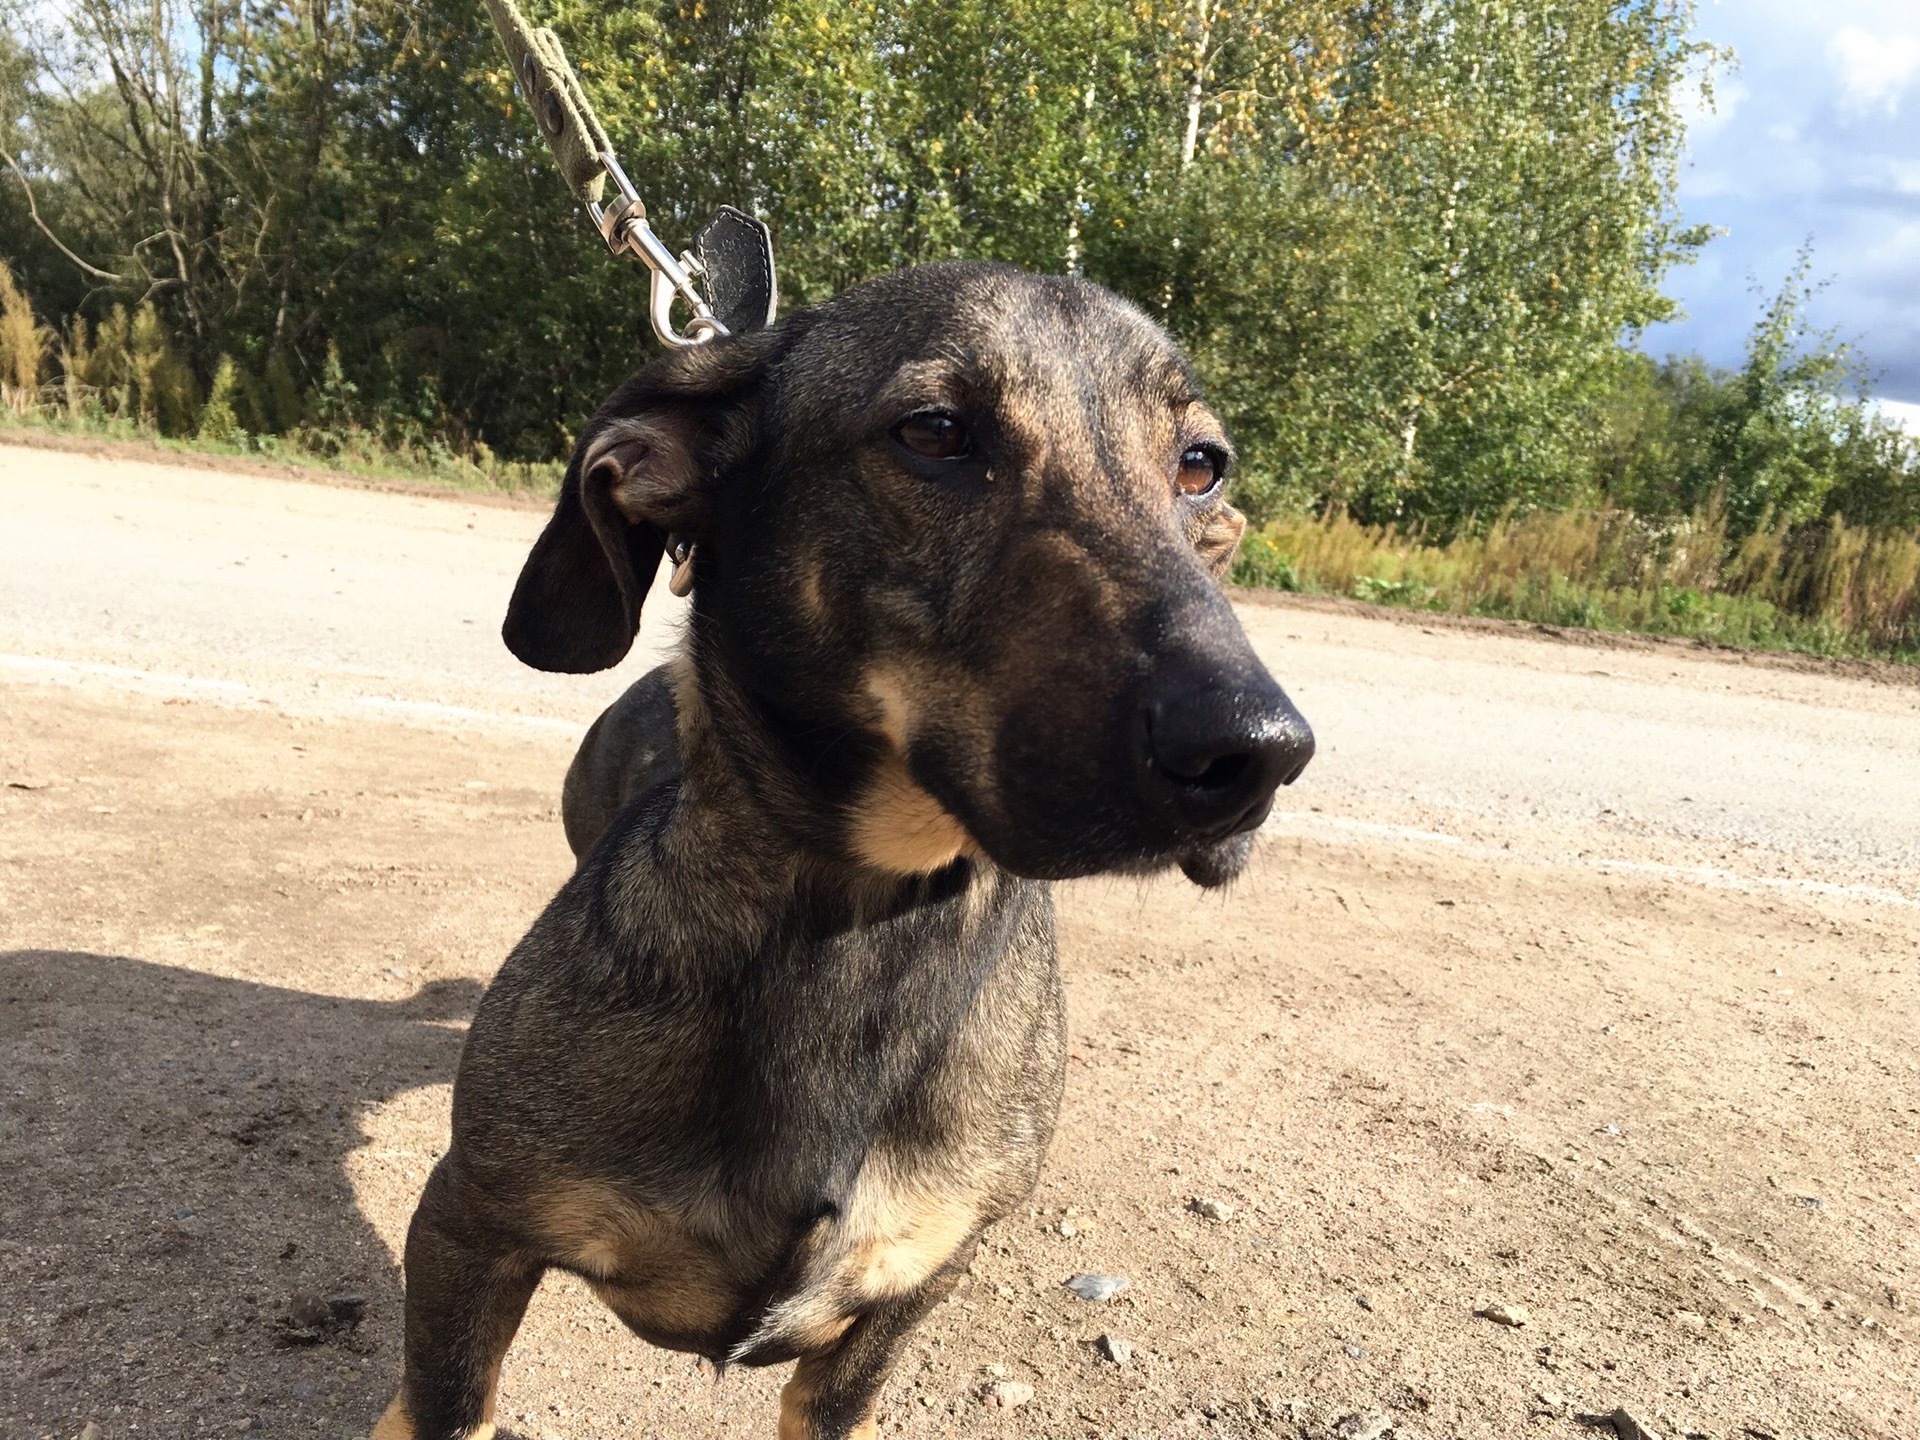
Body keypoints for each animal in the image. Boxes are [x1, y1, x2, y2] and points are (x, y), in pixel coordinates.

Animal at [374, 263, 1313, 1440]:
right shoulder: (469, 1226)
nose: (1260, 750)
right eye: (936, 431)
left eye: (1199, 463)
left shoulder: (909, 1293)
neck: (864, 926)